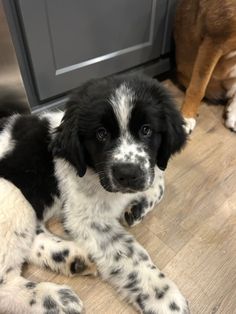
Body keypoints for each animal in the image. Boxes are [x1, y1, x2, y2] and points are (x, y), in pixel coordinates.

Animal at [0, 76, 188, 314]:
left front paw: (136, 208)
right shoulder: (89, 219)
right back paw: (54, 298)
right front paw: (163, 296)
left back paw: (70, 258)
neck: (91, 169)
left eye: (146, 130)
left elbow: (159, 180)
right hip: (13, 194)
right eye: (101, 134)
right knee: (4, 282)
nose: (127, 174)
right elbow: (130, 254)